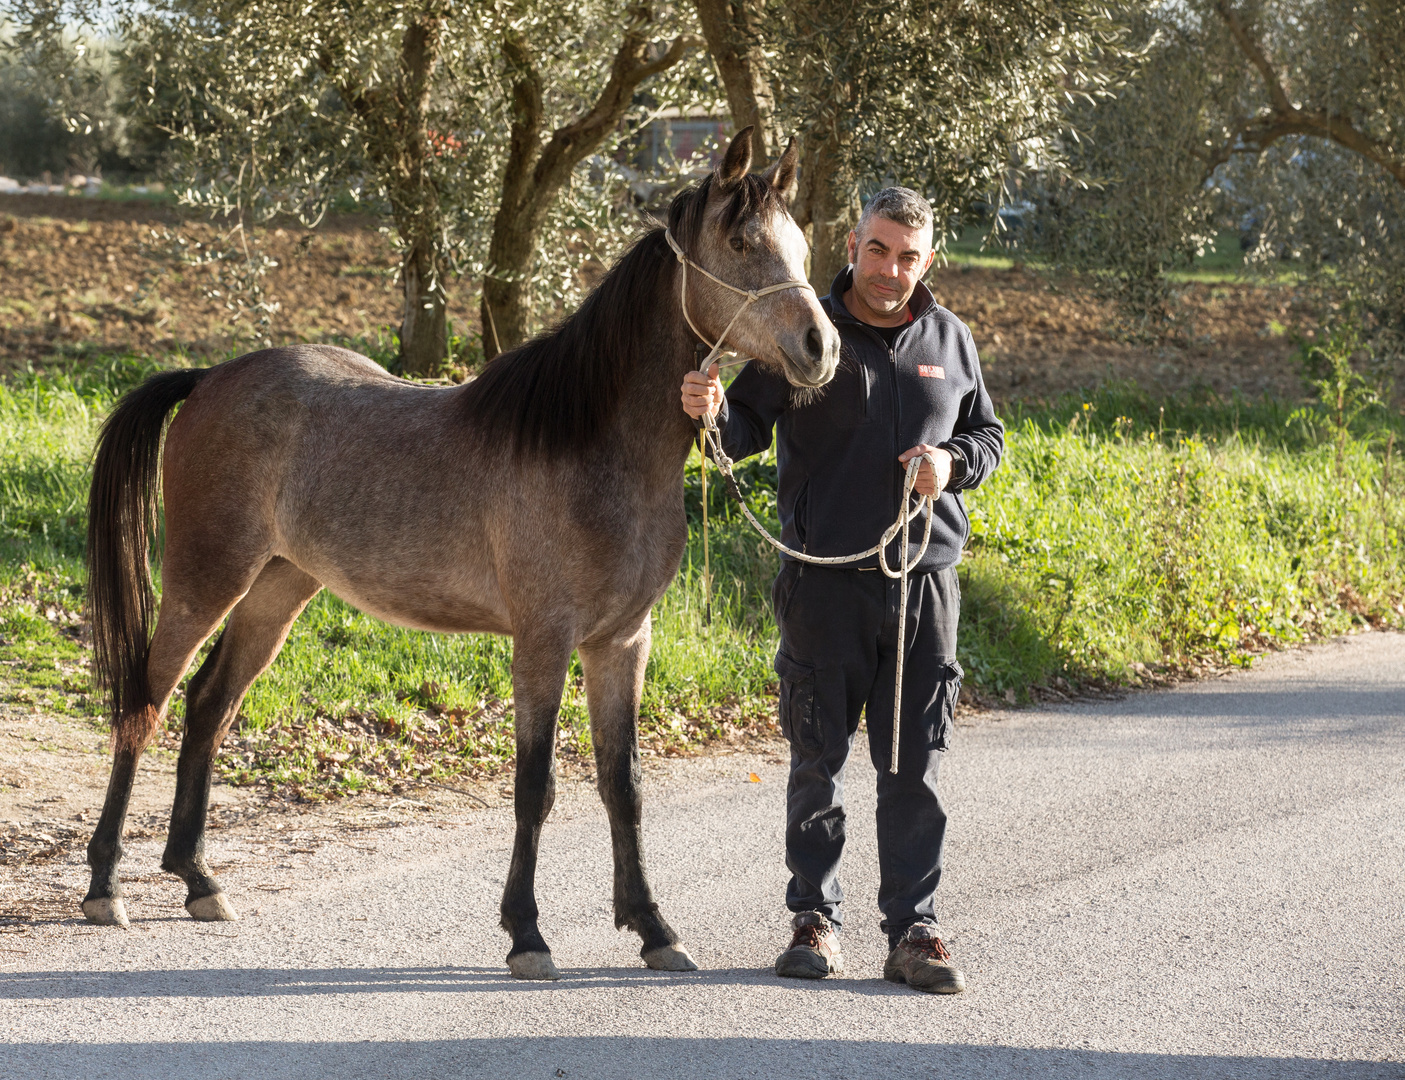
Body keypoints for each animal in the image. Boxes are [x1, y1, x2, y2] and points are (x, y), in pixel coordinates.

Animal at [76, 128, 837, 977]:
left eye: (800, 246)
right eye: (739, 244)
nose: (820, 347)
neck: (594, 444)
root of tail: (211, 378)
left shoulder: (621, 642)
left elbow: (623, 783)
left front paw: (653, 928)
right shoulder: (543, 641)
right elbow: (536, 785)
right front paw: (526, 934)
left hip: (278, 588)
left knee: (210, 704)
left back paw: (198, 878)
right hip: (206, 579)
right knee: (143, 702)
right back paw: (105, 885)